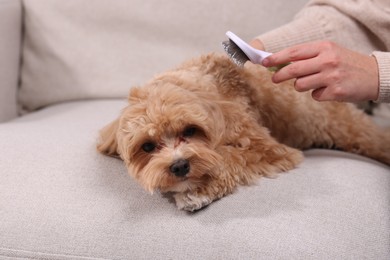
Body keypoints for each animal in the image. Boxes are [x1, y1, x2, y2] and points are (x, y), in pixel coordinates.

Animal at [97, 52, 390, 211]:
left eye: (190, 130)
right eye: (147, 146)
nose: (179, 165)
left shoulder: (269, 149)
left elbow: (230, 158)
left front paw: (198, 191)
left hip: (349, 127)